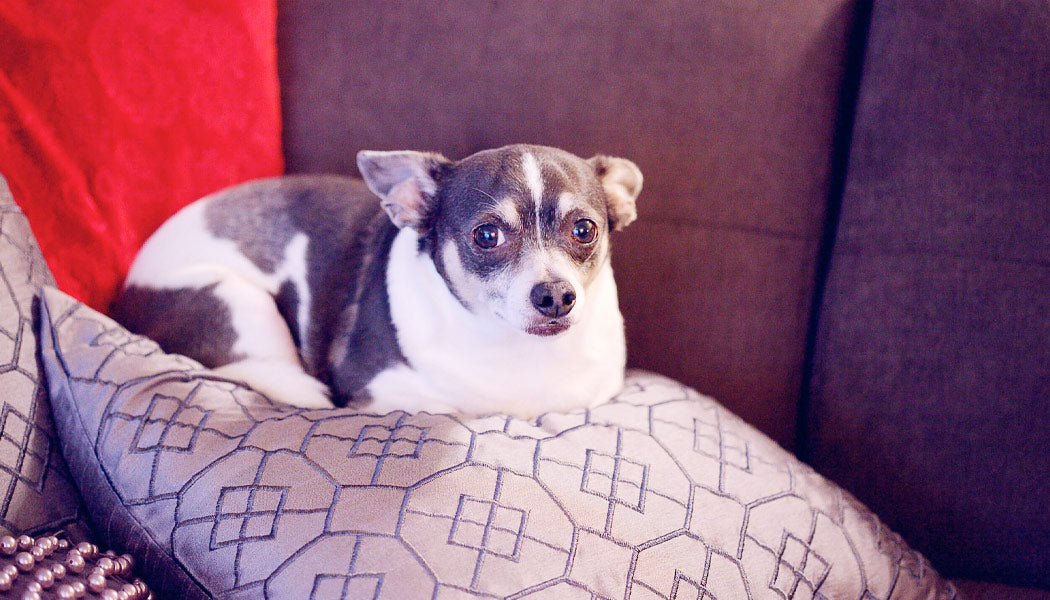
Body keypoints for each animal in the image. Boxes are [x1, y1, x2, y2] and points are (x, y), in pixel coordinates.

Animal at [110, 145, 642, 418]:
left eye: (584, 230)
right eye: (487, 235)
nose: (555, 295)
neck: (521, 354)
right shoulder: (384, 395)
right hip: (234, 301)